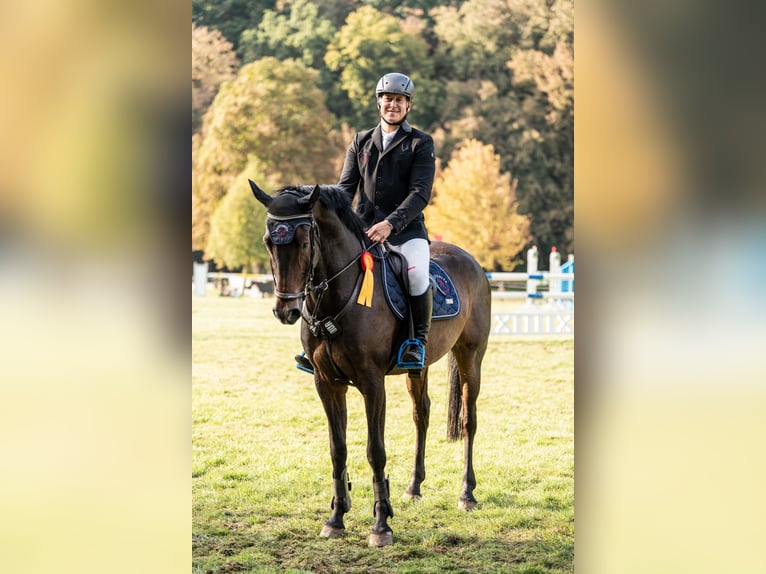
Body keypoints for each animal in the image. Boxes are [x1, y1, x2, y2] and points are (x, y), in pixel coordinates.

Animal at [249, 180, 491, 547]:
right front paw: (336, 518)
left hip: (470, 356)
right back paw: (414, 488)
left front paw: (381, 525)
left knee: (468, 419)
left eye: (304, 242)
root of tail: (472, 262)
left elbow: (375, 450)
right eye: (267, 242)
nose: (285, 311)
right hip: (417, 368)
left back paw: (467, 494)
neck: (337, 295)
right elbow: (337, 449)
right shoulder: (327, 383)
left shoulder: (372, 382)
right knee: (421, 414)